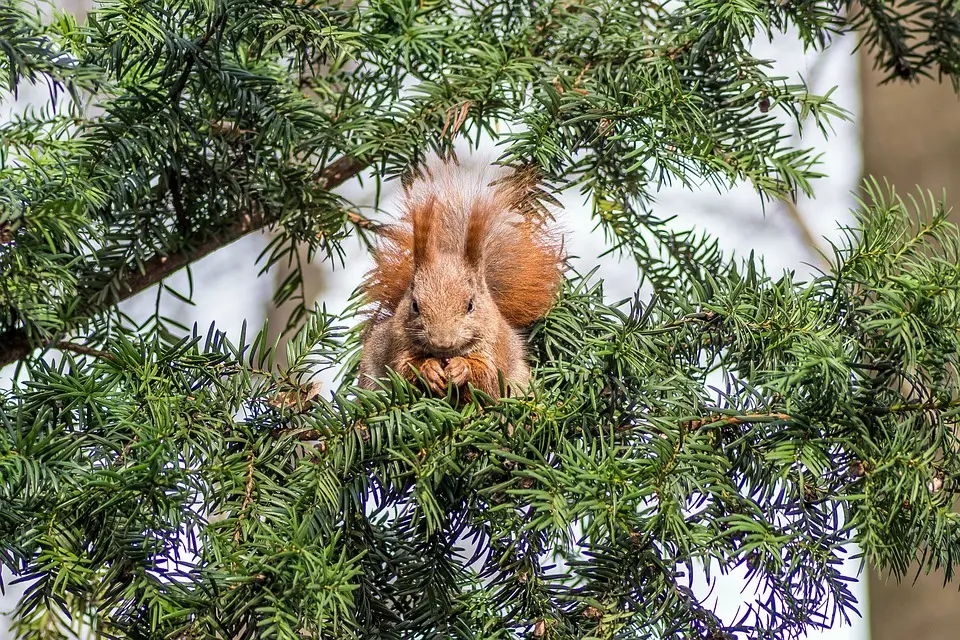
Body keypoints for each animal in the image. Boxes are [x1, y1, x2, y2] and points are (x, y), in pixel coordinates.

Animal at [356, 161, 568, 400]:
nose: (442, 342)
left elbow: (489, 379)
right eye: (415, 305)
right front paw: (429, 370)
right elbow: (403, 371)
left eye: (470, 305)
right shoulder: (396, 344)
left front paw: (461, 368)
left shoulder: (495, 346)